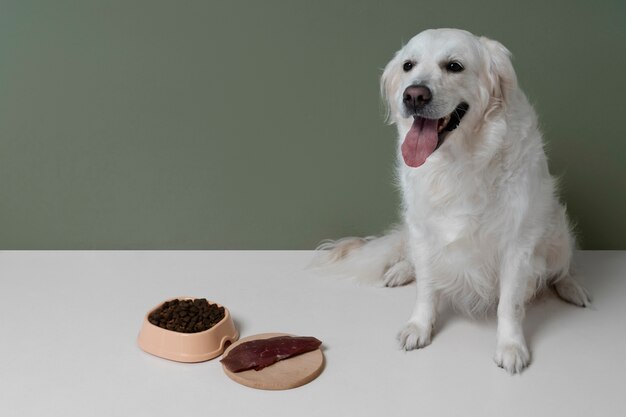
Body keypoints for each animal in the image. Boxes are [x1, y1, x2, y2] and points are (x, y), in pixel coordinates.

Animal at [316, 30, 588, 374]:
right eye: (408, 65)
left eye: (454, 66)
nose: (414, 95)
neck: (457, 162)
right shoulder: (422, 230)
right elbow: (426, 289)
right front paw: (419, 326)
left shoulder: (518, 242)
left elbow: (509, 304)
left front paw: (511, 346)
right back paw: (400, 271)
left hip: (559, 229)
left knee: (561, 269)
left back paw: (572, 288)